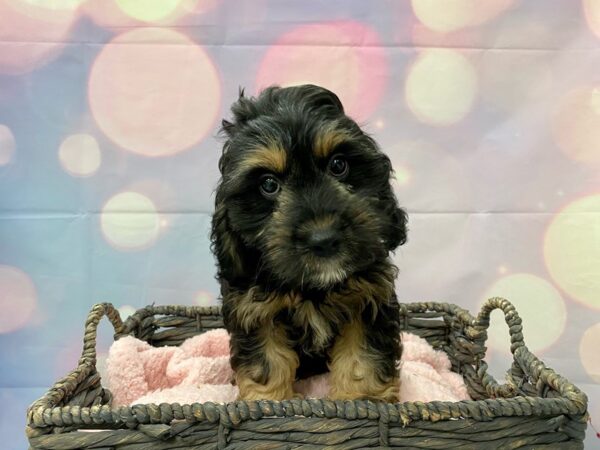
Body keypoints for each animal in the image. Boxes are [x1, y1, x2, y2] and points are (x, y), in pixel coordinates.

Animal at [211, 83, 408, 400]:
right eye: (268, 184)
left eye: (338, 165)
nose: (323, 239)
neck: (313, 288)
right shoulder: (253, 308)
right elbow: (266, 361)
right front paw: (268, 402)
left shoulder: (370, 298)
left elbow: (362, 359)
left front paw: (361, 400)